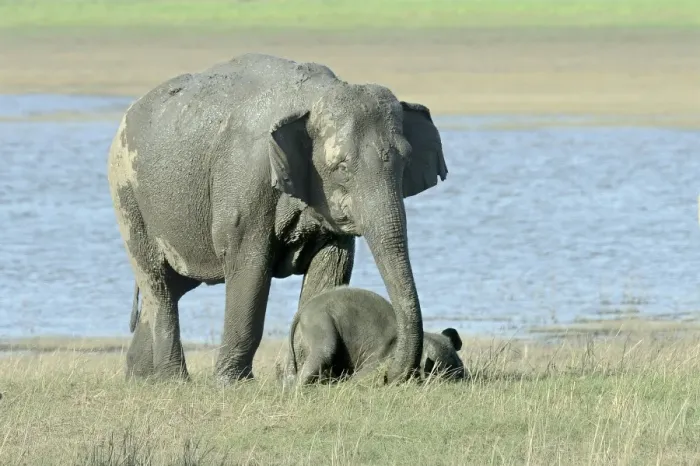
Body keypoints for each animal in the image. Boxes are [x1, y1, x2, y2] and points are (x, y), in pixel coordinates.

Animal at [106, 52, 447, 384]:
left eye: (405, 161)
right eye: (341, 167)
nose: (391, 376)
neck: (314, 97)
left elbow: (332, 265)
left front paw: (298, 376)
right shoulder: (246, 180)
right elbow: (250, 265)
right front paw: (233, 384)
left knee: (174, 287)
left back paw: (140, 379)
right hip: (127, 198)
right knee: (159, 283)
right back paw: (173, 381)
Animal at [279, 286, 465, 389]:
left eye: (460, 366)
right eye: (440, 371)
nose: (462, 379)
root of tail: (303, 310)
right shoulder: (384, 359)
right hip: (319, 321)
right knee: (324, 351)